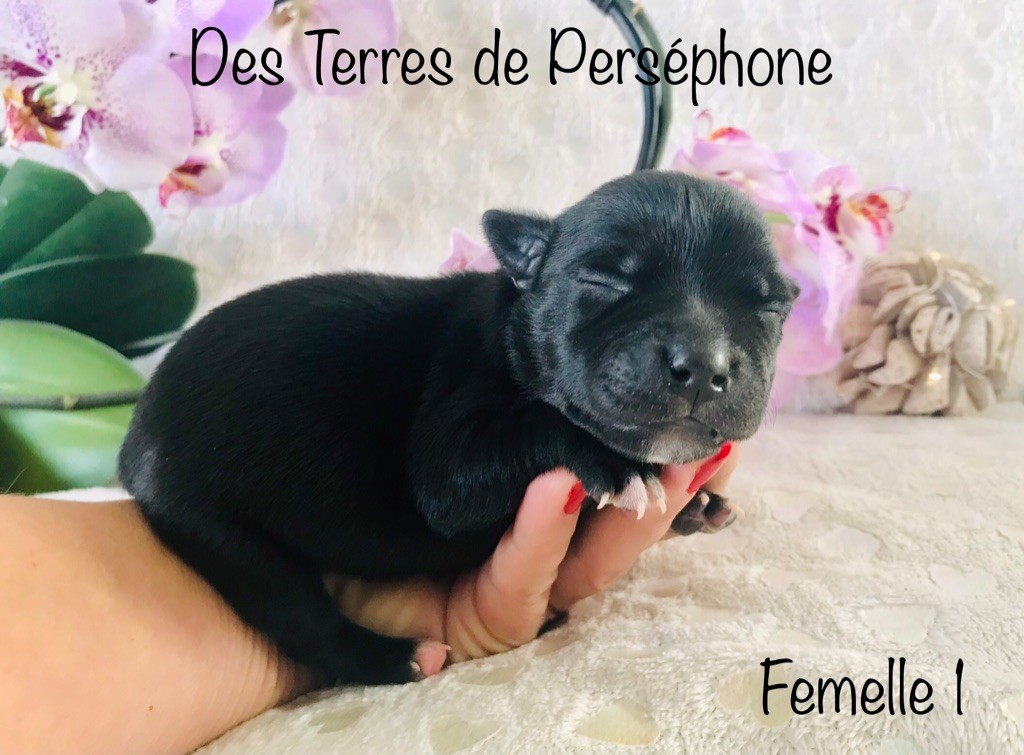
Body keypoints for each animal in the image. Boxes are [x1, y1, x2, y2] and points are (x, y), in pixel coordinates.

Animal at [118, 170, 797, 685]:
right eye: (604, 282)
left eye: (767, 306)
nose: (703, 364)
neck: (513, 326)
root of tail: (136, 431)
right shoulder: (447, 456)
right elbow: (531, 425)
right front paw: (614, 464)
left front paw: (696, 503)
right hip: (213, 522)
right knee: (296, 613)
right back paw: (397, 659)